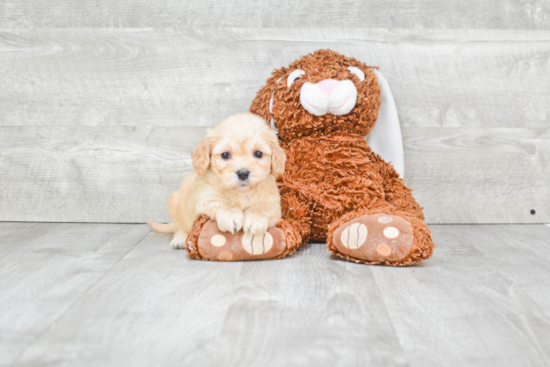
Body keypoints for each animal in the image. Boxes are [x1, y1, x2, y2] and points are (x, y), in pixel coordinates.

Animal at [149, 113, 286, 250]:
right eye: (225, 155)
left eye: (258, 153)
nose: (243, 173)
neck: (240, 193)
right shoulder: (201, 197)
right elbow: (218, 201)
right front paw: (231, 216)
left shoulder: (274, 202)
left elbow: (263, 207)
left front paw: (255, 220)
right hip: (175, 203)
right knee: (181, 226)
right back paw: (180, 238)